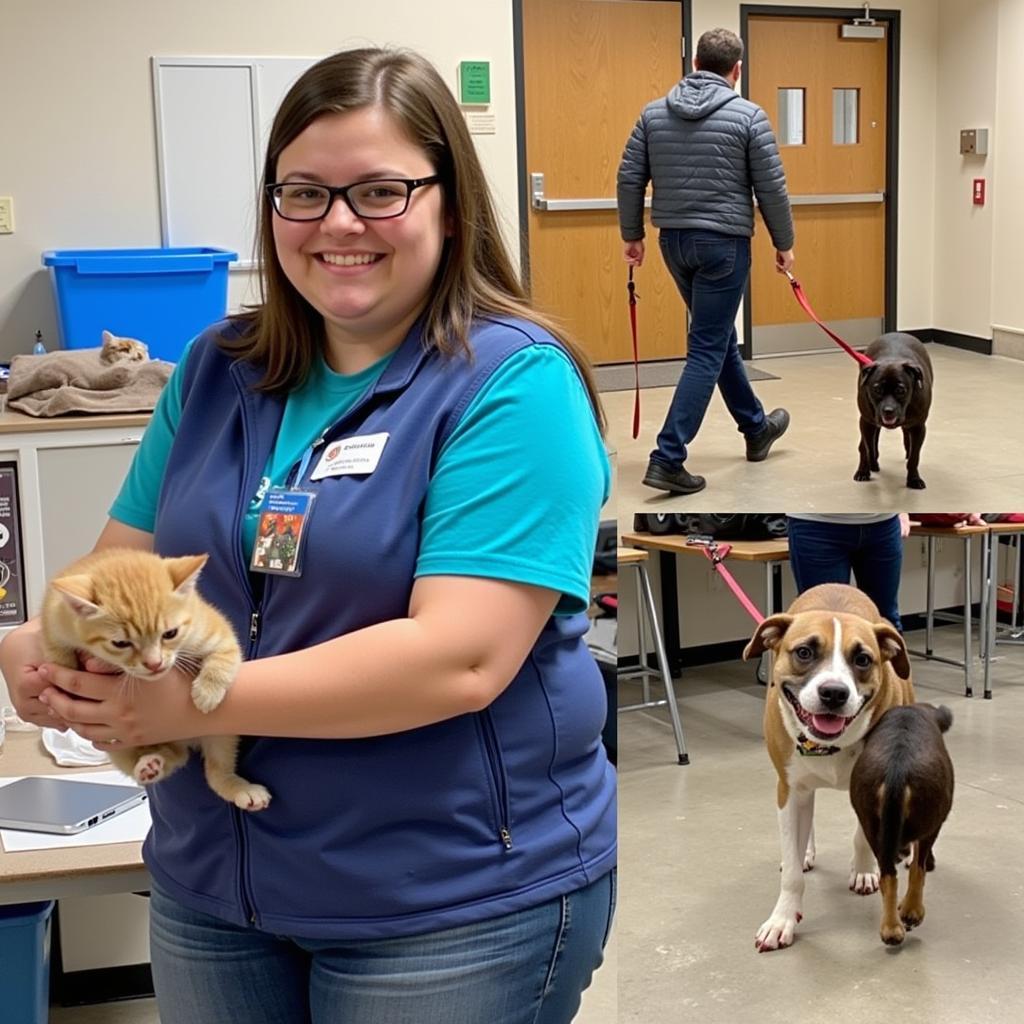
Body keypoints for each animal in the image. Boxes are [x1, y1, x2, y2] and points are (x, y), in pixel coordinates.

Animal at [41, 548, 270, 811]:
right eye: (120, 643)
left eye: (170, 633)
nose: (155, 664)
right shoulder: (54, 622)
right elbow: (58, 658)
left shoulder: (212, 629)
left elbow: (225, 654)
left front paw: (207, 692)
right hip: (123, 748)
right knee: (173, 756)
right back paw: (149, 766)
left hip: (221, 732)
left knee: (214, 771)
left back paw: (240, 789)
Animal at [741, 585, 917, 950]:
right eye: (804, 652)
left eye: (862, 659)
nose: (834, 693)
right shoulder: (788, 791)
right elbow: (793, 871)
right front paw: (782, 919)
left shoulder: (874, 785)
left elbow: (862, 836)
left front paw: (864, 869)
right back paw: (804, 852)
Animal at [847, 700, 950, 946]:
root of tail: (897, 771)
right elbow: (917, 866)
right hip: (930, 821)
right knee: (916, 868)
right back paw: (912, 911)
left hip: (871, 825)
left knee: (888, 876)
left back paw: (891, 927)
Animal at [851, 329, 933, 485]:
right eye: (877, 389)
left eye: (900, 390)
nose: (888, 410)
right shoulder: (866, 422)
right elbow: (867, 448)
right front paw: (867, 468)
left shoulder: (919, 427)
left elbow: (914, 457)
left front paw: (914, 479)